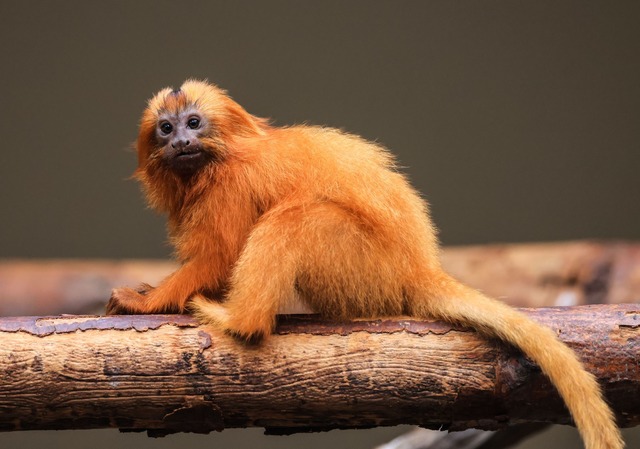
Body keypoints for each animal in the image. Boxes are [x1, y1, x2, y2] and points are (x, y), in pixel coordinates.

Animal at [107, 80, 624, 448]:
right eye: (166, 128)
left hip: (363, 265)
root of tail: (418, 268)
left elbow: (217, 256)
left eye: (194, 122)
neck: (216, 158)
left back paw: (240, 319)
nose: (181, 141)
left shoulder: (230, 186)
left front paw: (146, 303)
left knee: (296, 218)